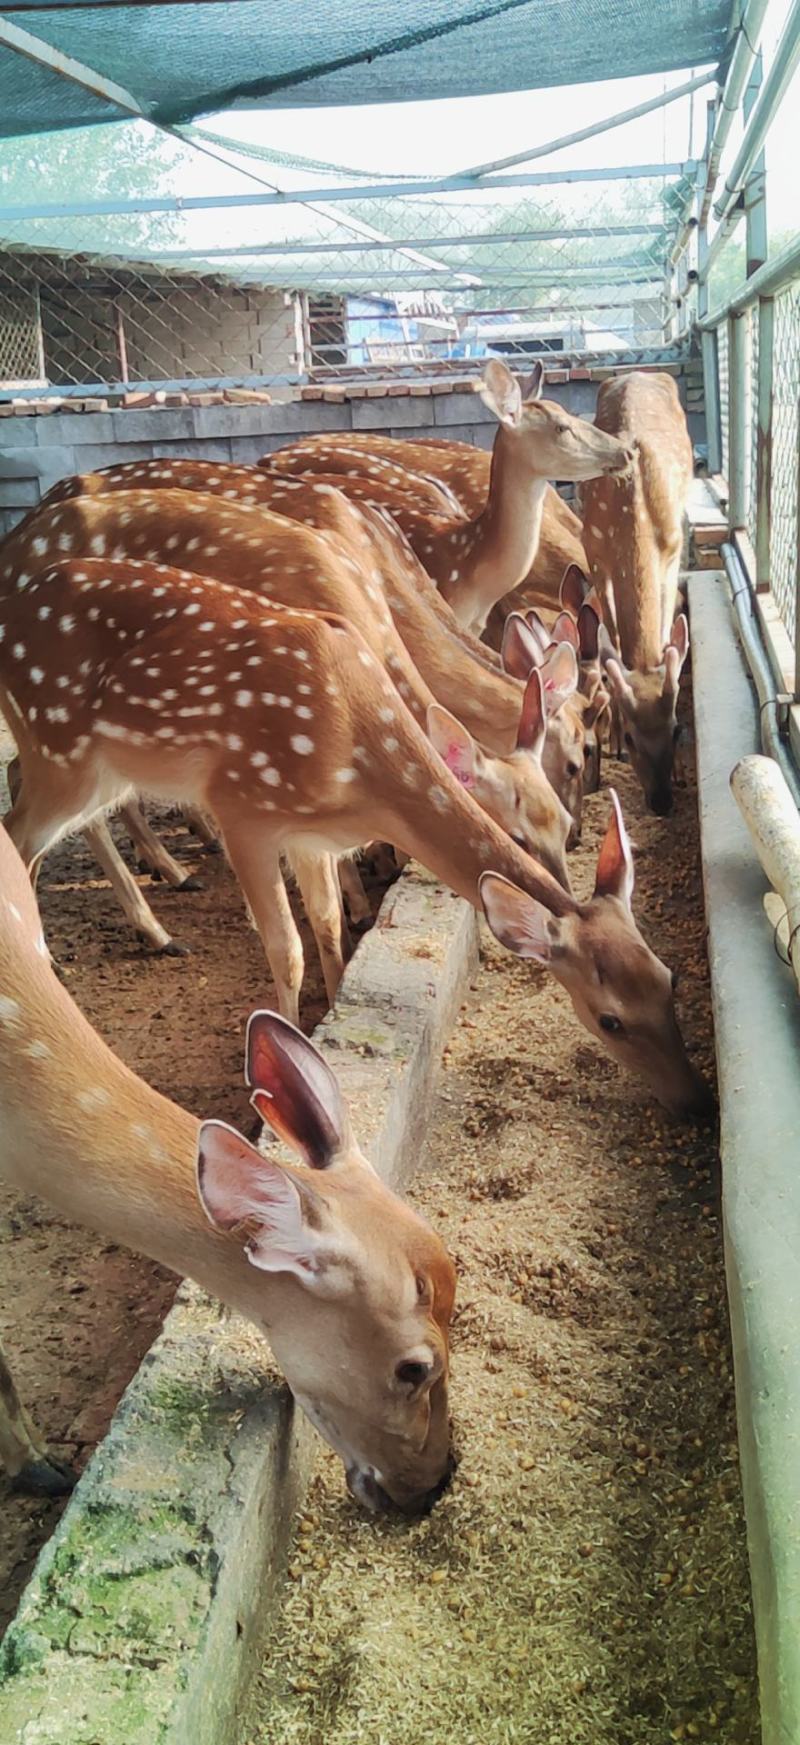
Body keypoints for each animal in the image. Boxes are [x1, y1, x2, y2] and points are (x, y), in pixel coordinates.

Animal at [0, 553, 710, 1119]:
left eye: (671, 978)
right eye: (610, 1018)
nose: (696, 1103)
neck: (357, 766)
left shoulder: (312, 836)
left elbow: (328, 922)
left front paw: (329, 1020)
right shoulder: (244, 807)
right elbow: (286, 947)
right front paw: (270, 1081)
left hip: (100, 767)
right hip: (60, 748)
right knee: (19, 833)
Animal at [581, 372, 693, 816]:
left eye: (677, 729)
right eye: (631, 735)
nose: (661, 802)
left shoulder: (674, 546)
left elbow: (665, 634)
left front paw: (679, 772)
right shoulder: (594, 549)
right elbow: (610, 642)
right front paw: (611, 741)